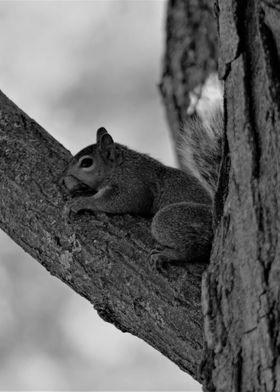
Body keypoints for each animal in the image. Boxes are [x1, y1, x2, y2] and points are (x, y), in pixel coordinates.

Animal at [61, 108, 223, 272]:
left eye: (86, 162)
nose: (64, 173)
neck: (119, 166)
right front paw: (77, 186)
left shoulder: (135, 184)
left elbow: (117, 201)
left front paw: (82, 201)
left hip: (175, 218)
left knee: (194, 250)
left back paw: (166, 255)